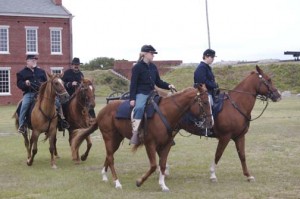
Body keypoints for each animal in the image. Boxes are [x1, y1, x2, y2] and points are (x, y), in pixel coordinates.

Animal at [70, 83, 211, 191]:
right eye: (204, 102)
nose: (210, 121)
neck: (165, 113)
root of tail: (102, 111)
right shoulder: (150, 144)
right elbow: (154, 166)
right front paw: (139, 181)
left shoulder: (166, 145)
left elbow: (162, 164)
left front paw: (163, 185)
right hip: (109, 138)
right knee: (110, 158)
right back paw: (117, 182)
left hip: (116, 139)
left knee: (109, 156)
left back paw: (105, 176)